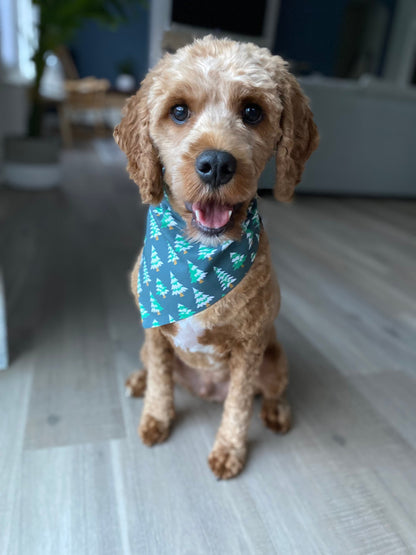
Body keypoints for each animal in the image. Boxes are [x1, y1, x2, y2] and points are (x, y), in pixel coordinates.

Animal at [114, 35, 318, 478]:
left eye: (253, 111)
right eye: (178, 111)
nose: (217, 163)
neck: (200, 260)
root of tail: (206, 389)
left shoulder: (250, 347)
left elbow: (239, 405)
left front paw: (229, 450)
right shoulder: (155, 335)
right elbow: (161, 382)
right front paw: (156, 418)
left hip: (275, 358)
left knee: (270, 392)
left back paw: (277, 412)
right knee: (156, 371)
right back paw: (139, 381)